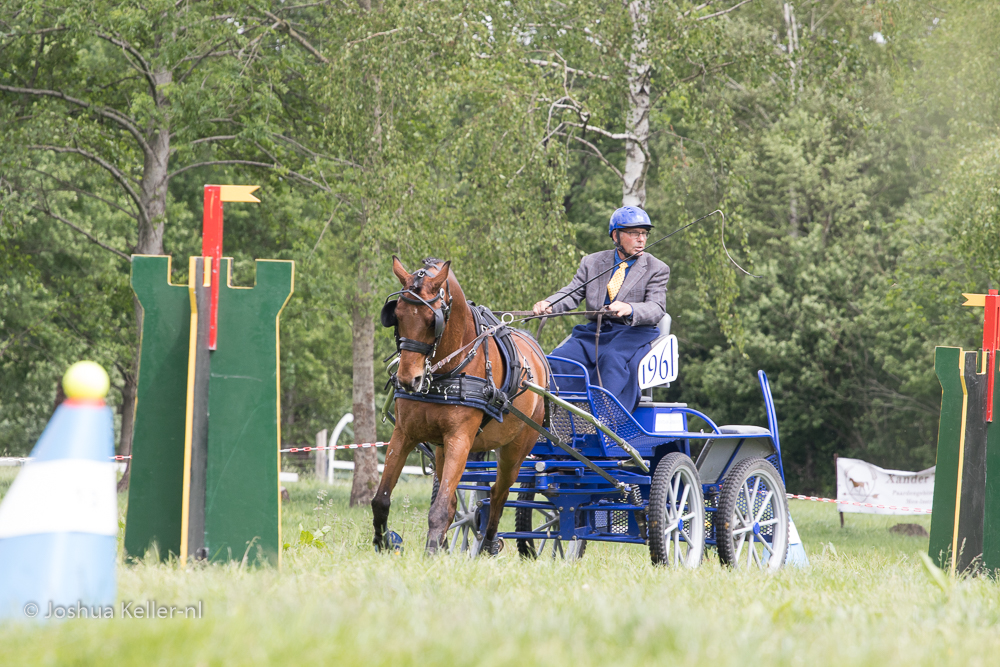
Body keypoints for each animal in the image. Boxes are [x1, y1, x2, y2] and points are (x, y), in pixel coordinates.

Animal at [372, 258, 552, 556]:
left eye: (432, 320)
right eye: (396, 315)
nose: (409, 380)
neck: (446, 371)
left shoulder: (460, 439)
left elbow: (441, 507)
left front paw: (431, 553)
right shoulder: (405, 434)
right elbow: (381, 499)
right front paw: (382, 543)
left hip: (515, 450)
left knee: (498, 496)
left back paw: (488, 545)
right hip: (442, 450)